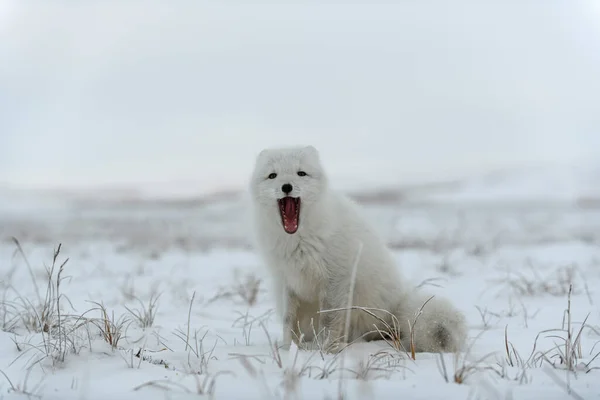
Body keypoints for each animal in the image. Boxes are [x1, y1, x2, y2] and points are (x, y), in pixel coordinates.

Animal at [251, 146, 466, 354]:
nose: (286, 187)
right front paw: (287, 350)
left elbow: (329, 319)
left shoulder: (336, 277)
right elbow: (288, 320)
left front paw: (324, 350)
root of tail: (397, 306)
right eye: (272, 175)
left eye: (301, 173)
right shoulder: (287, 279)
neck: (298, 239)